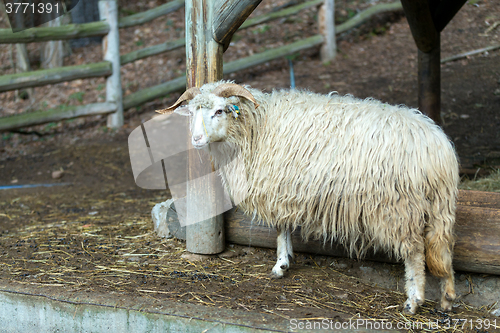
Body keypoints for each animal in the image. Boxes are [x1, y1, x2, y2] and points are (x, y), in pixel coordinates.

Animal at [158, 80, 458, 314]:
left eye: (219, 111)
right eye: (192, 113)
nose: (196, 139)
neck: (256, 126)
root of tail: (438, 148)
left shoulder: (276, 186)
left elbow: (280, 228)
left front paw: (280, 265)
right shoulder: (286, 190)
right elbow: (285, 227)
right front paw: (286, 261)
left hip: (399, 208)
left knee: (415, 252)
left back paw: (413, 301)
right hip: (438, 207)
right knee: (442, 250)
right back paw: (447, 298)